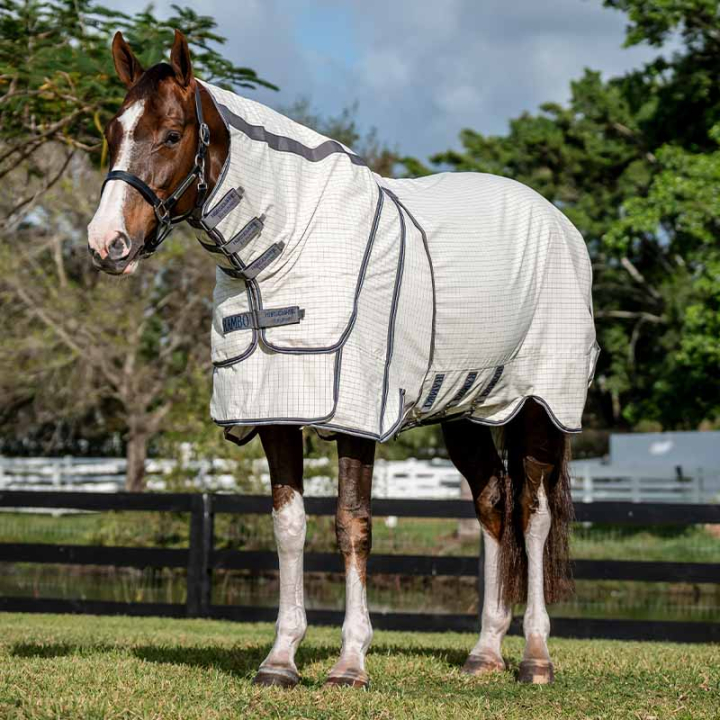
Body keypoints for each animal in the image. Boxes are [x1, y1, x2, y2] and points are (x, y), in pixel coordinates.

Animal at [88, 30, 598, 688]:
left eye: (172, 134)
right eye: (112, 130)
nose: (107, 244)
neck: (281, 255)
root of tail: (559, 223)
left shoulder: (355, 416)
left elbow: (352, 525)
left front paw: (350, 661)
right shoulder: (277, 411)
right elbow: (289, 526)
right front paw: (280, 659)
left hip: (540, 404)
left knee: (533, 516)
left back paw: (535, 655)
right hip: (466, 411)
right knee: (493, 506)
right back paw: (484, 652)